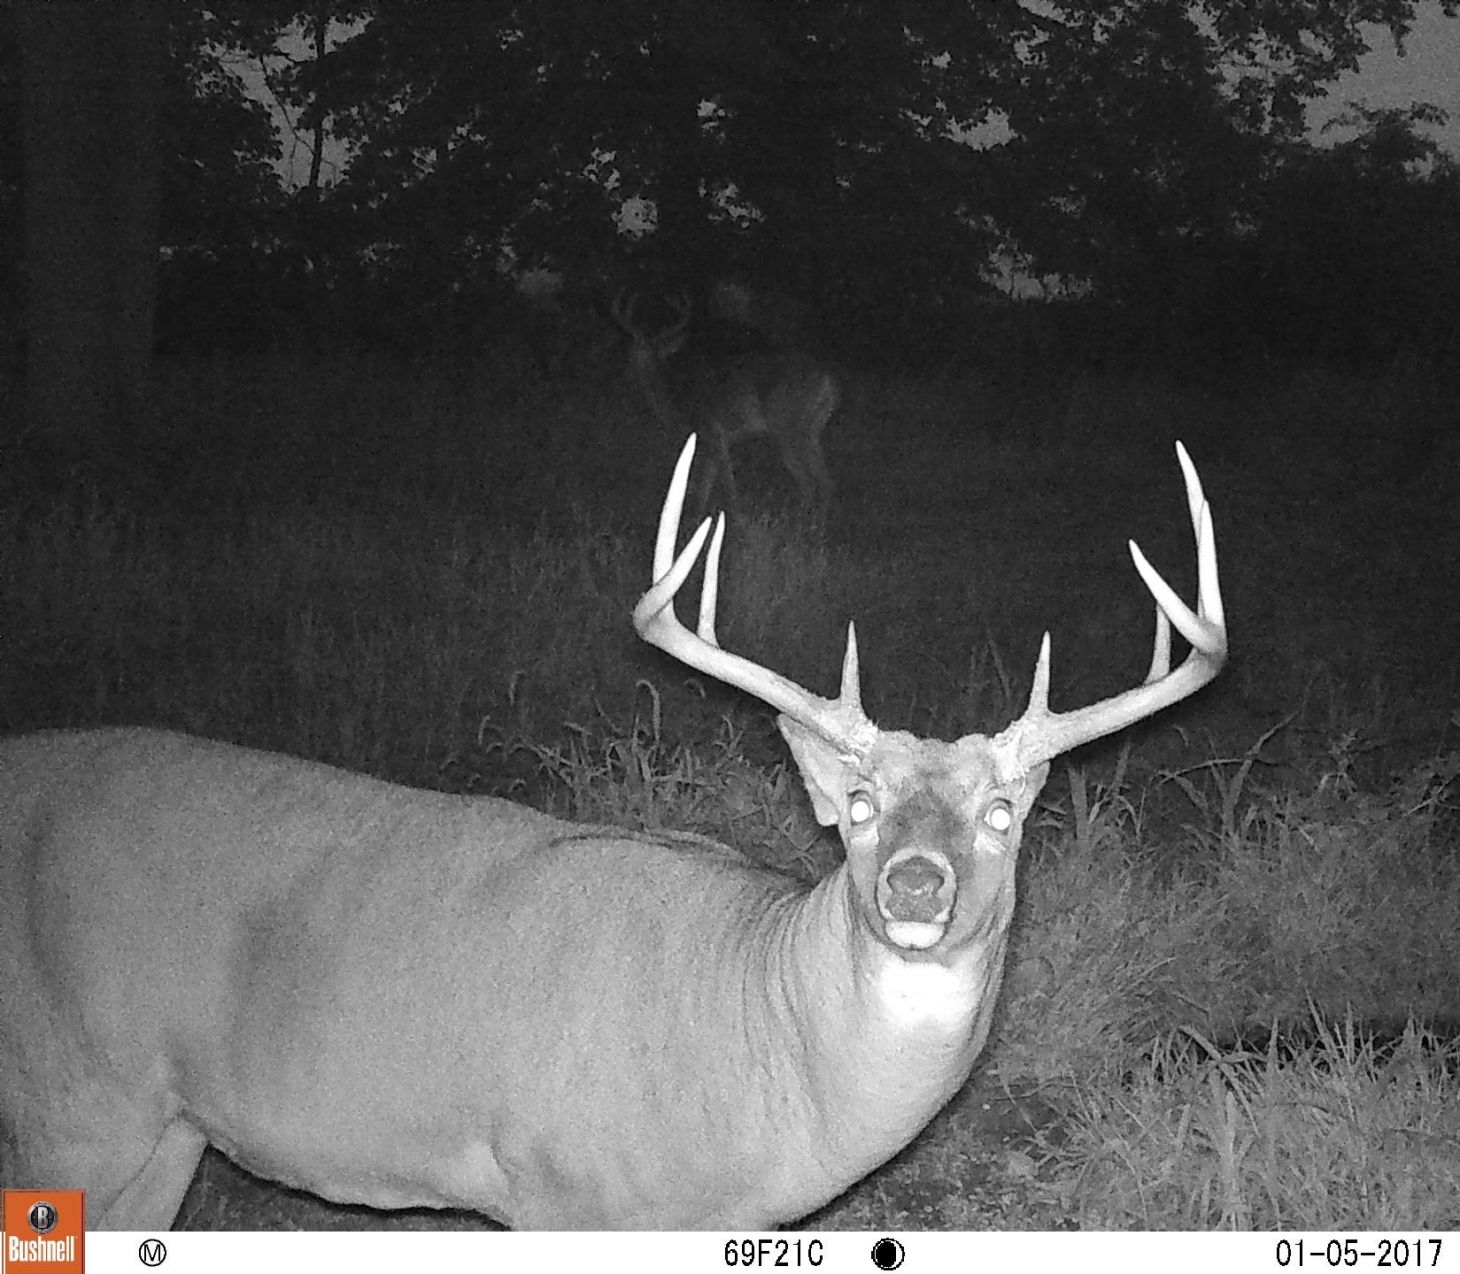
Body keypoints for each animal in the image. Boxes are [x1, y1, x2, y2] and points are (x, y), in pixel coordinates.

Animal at [0, 435, 1226, 1230]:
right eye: (860, 808)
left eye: (1003, 812)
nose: (916, 886)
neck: (762, 1055)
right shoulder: (557, 1188)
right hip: (72, 1094)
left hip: (166, 1126)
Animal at [612, 289, 839, 522]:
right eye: (633, 348)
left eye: (655, 353)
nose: (632, 371)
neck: (676, 396)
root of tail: (829, 383)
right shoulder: (711, 439)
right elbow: (705, 487)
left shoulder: (713, 432)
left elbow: (723, 485)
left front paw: (734, 520)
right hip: (811, 429)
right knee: (823, 481)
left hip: (791, 429)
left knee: (813, 481)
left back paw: (807, 524)